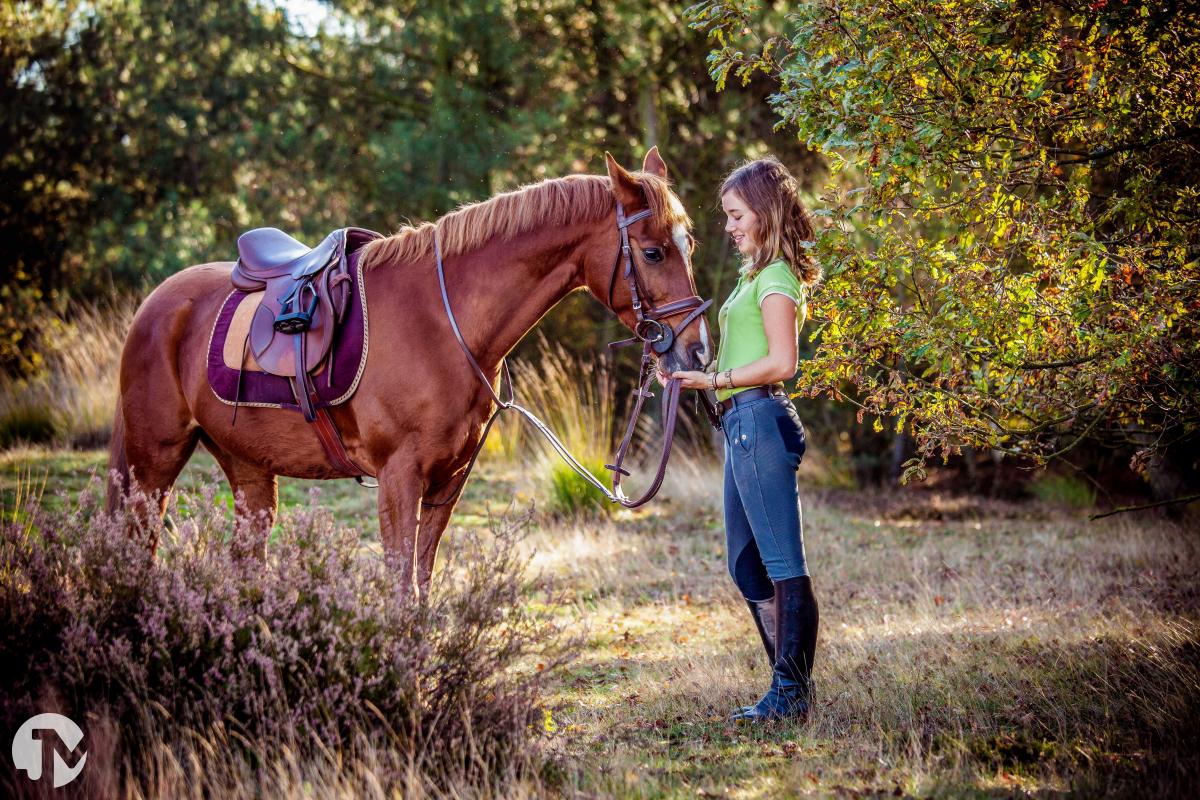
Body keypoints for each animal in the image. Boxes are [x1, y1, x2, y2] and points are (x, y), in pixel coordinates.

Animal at [105, 148, 710, 594]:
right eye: (653, 253)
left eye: (690, 246)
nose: (698, 352)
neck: (444, 323)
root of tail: (156, 305)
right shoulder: (399, 477)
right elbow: (400, 587)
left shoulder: (448, 480)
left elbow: (421, 582)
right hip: (152, 461)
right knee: (135, 550)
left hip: (248, 469)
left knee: (244, 564)